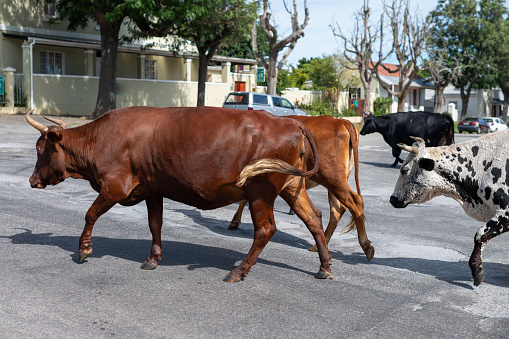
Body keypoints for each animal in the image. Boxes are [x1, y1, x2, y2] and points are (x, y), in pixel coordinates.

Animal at [26, 107, 334, 282]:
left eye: (40, 148)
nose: (32, 180)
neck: (101, 138)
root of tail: (290, 122)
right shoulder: (152, 189)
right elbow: (155, 224)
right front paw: (153, 258)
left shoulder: (114, 186)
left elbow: (90, 214)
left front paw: (84, 249)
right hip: (291, 187)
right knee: (314, 218)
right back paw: (325, 266)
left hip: (260, 190)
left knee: (265, 229)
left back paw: (238, 271)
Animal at [227, 115, 374, 262]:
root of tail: (340, 121)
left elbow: (244, 199)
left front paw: (235, 221)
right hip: (334, 181)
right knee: (337, 209)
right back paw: (319, 245)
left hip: (333, 177)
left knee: (355, 202)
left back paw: (366, 246)